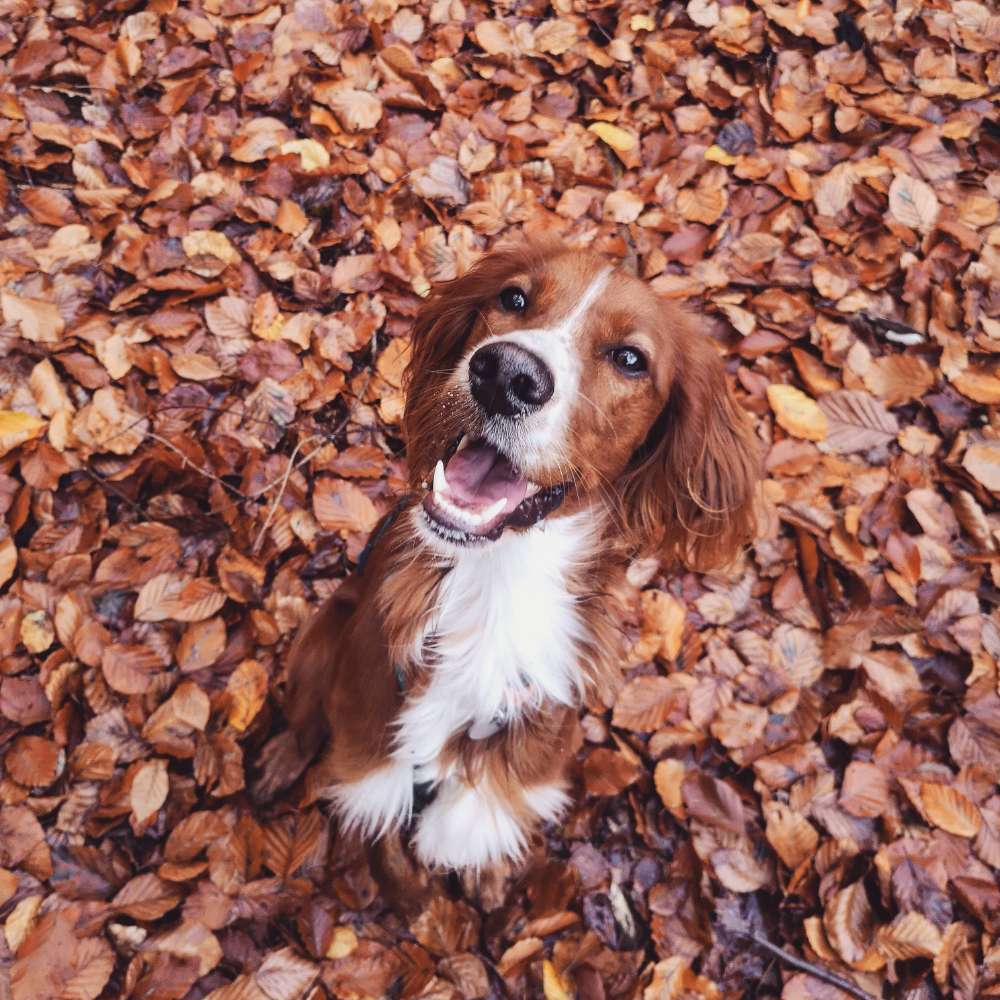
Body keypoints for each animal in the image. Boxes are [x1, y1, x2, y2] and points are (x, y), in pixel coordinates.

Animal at [258, 240, 756, 892]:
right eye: (514, 298)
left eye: (630, 359)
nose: (506, 375)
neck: (499, 576)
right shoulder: (370, 725)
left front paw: (486, 876)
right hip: (321, 633)